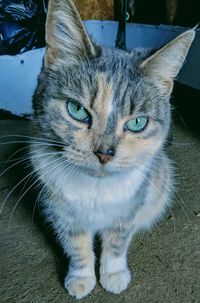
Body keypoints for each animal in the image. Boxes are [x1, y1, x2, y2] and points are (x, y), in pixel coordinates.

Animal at [29, 0, 195, 300]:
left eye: (138, 123)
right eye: (77, 110)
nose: (104, 153)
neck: (95, 191)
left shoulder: (131, 205)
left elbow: (118, 240)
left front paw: (114, 275)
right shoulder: (60, 211)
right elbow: (75, 245)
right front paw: (81, 278)